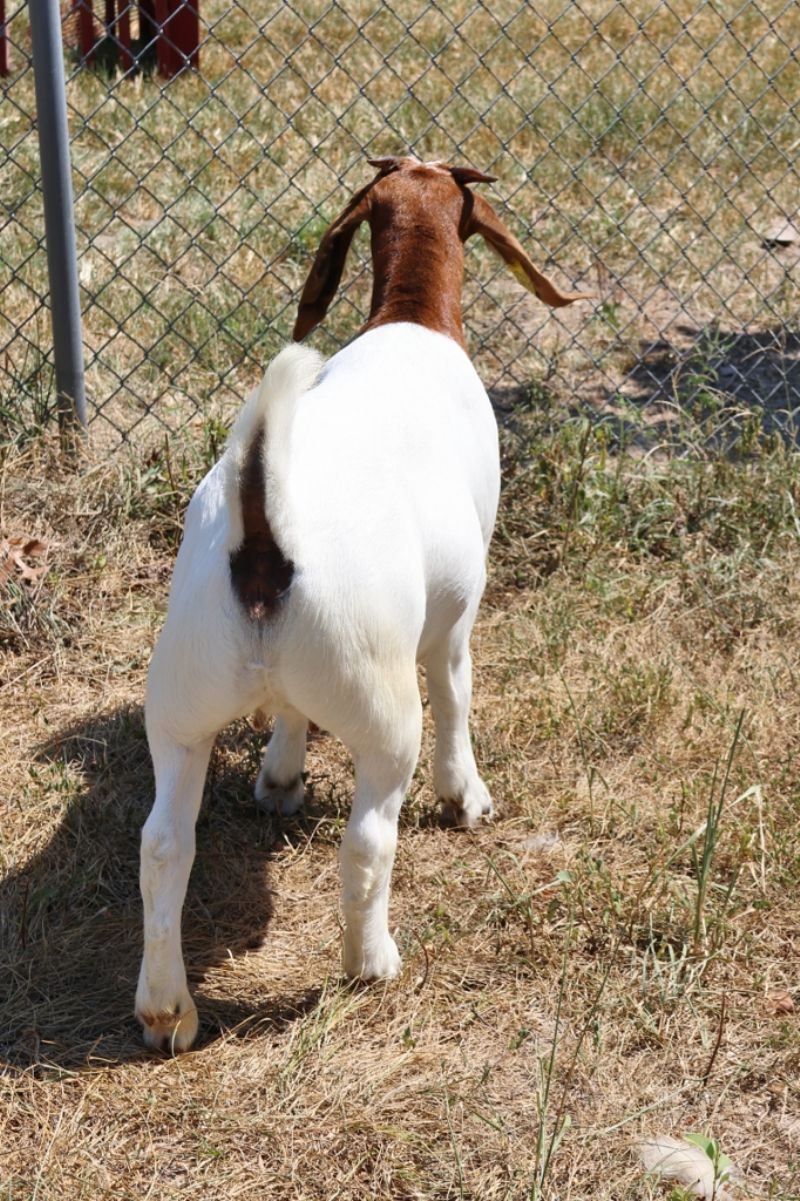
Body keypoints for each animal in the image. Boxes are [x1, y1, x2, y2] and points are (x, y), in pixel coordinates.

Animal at [135, 156, 590, 1051]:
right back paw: (370, 961)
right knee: (370, 838)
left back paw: (166, 1009)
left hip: (181, 699)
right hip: (381, 708)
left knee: (165, 843)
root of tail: (263, 532)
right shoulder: (456, 615)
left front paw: (279, 778)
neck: (411, 317)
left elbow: (287, 716)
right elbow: (457, 694)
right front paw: (467, 796)